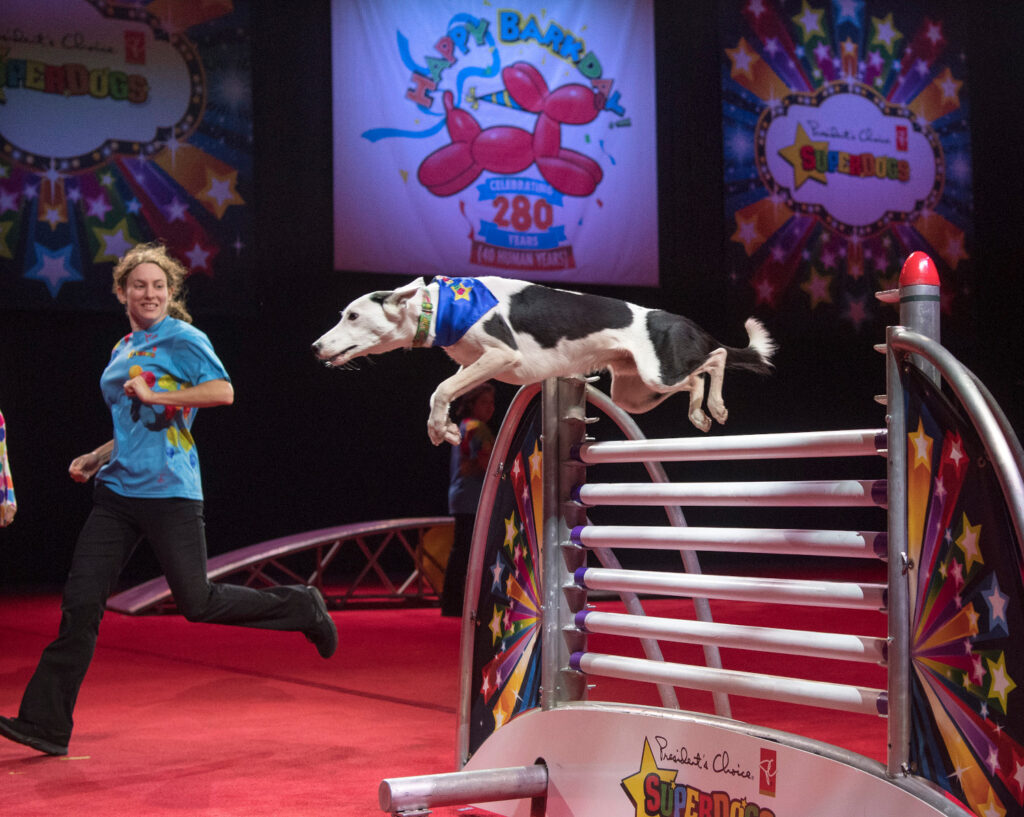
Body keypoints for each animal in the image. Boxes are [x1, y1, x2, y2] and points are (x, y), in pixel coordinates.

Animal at [311, 280, 774, 448]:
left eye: (352, 316)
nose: (315, 347)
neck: (439, 305)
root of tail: (684, 322)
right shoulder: (475, 363)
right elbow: (441, 392)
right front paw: (443, 428)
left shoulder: (502, 355)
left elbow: (440, 389)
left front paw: (440, 429)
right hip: (635, 389)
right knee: (694, 378)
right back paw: (698, 411)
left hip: (659, 369)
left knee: (716, 357)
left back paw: (715, 406)